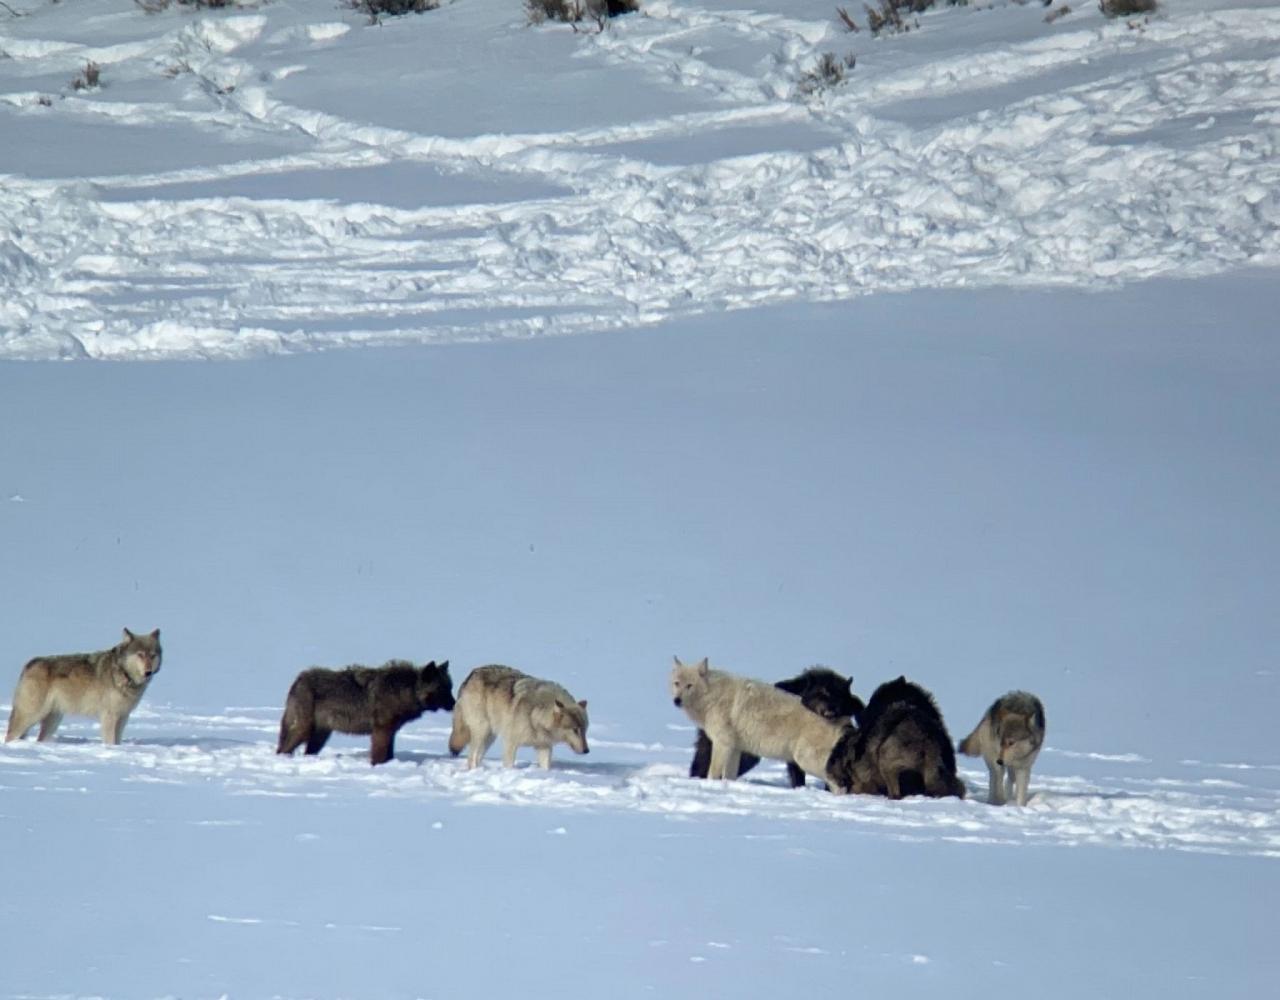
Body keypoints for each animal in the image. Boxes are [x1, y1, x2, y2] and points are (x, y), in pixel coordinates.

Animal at [5, 628, 163, 746]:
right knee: (10, 736)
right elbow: (110, 741)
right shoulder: (109, 716)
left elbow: (117, 741)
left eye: (152, 655)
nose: (148, 672)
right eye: (140, 655)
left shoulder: (123, 716)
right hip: (31, 716)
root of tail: (29, 663)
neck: (124, 674)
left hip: (53, 720)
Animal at [277, 660, 455, 766]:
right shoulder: (381, 732)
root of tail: (298, 680)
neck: (407, 690)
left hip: (319, 736)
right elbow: (379, 756)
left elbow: (388, 755)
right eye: (442, 689)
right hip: (305, 731)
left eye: (450, 687)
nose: (454, 704)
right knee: (283, 750)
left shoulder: (390, 732)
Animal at [447, 665, 589, 769]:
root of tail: (470, 675)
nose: (587, 750)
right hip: (482, 732)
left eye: (584, 730)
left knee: (476, 757)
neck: (535, 714)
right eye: (575, 730)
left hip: (489, 737)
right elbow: (509, 764)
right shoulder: (511, 743)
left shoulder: (544, 746)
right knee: (471, 757)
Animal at [671, 657, 847, 785]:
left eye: (689, 685)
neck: (713, 696)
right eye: (677, 683)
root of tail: (841, 722)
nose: (676, 700)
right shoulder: (734, 748)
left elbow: (713, 773)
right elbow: (728, 776)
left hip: (805, 761)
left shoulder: (723, 744)